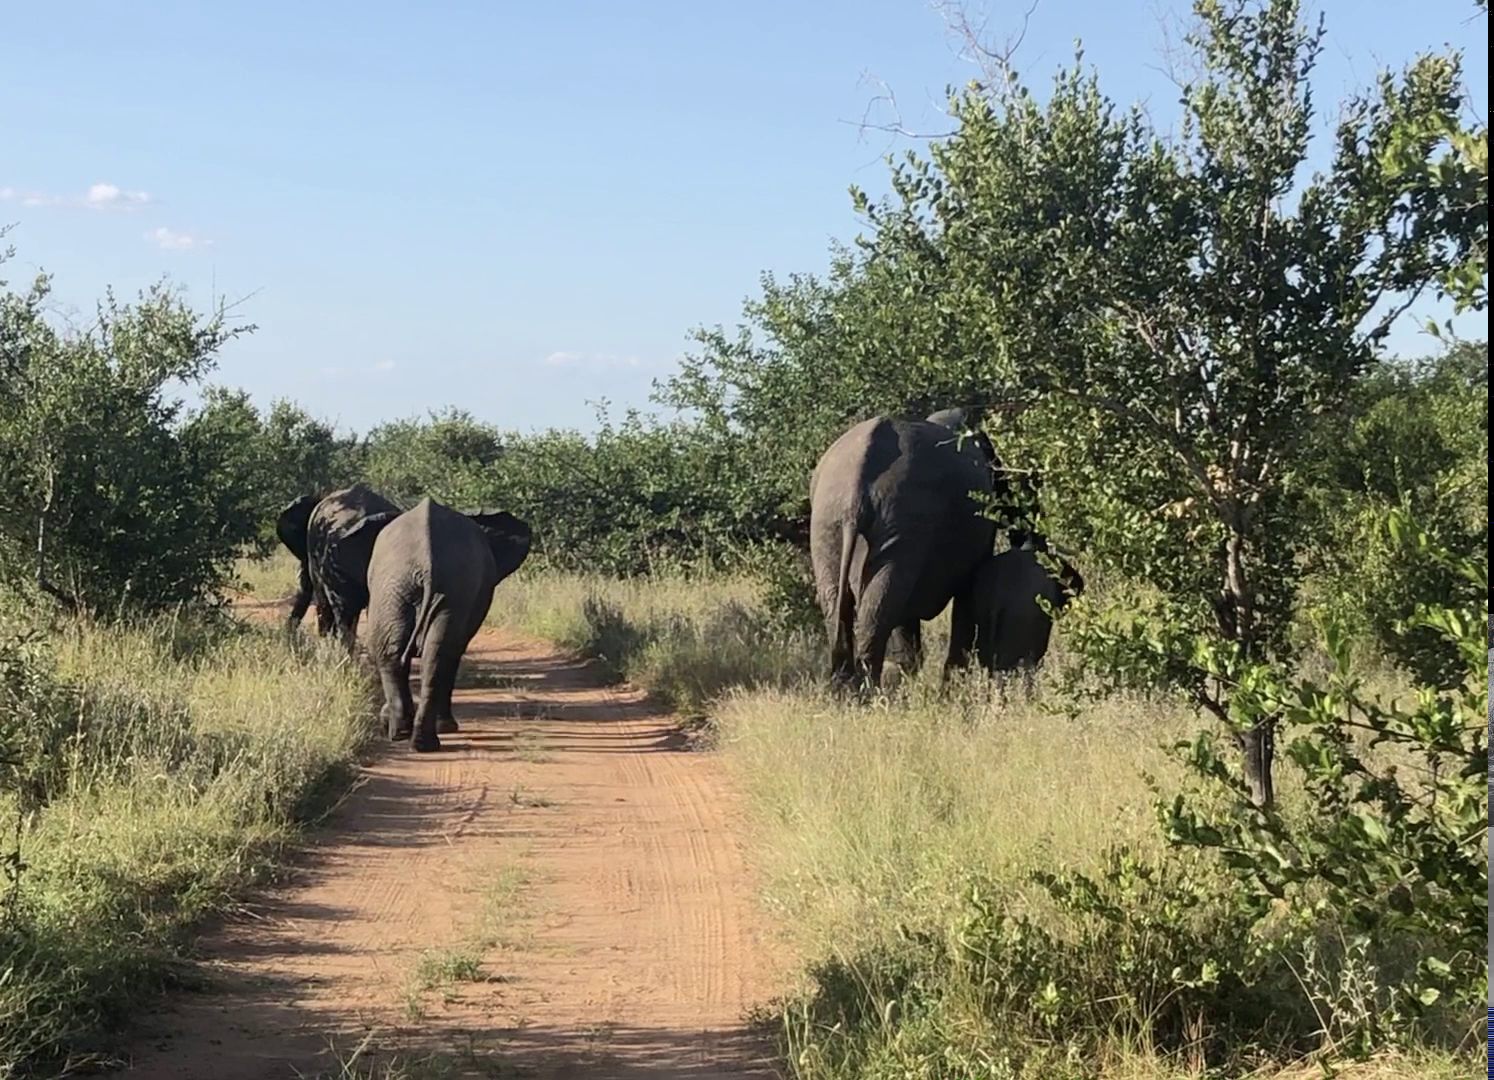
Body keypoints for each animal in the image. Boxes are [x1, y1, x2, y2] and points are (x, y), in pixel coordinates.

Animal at [355, 495, 531, 752]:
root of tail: (426, 564)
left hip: (404, 587)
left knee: (417, 654)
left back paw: (413, 738)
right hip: (406, 587)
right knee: (423, 654)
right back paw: (413, 735)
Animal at [806, 409, 1003, 687]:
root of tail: (855, 486)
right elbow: (967, 593)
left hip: (832, 520)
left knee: (840, 599)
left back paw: (844, 689)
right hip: (898, 514)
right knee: (882, 600)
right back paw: (868, 690)